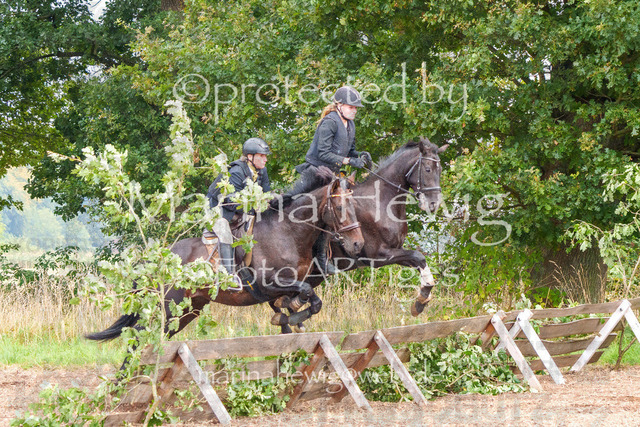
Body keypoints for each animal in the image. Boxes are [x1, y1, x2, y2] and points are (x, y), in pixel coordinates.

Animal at [86, 176, 364, 342]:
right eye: (340, 209)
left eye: (356, 207)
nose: (358, 244)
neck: (287, 232)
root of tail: (153, 261)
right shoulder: (268, 284)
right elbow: (304, 294)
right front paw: (288, 315)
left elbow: (312, 301)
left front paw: (289, 315)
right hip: (168, 308)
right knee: (139, 337)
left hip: (188, 310)